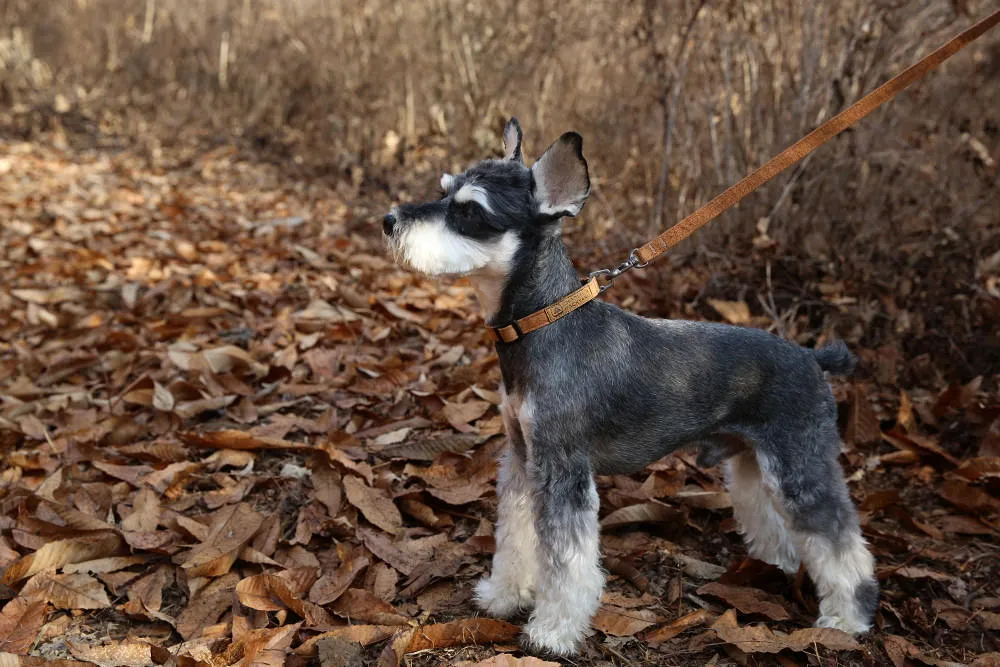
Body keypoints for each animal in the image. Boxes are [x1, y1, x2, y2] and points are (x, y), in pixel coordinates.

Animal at [386, 117, 880, 656]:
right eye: (443, 191)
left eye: (471, 212)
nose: (389, 221)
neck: (543, 322)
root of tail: (813, 359)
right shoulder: (522, 460)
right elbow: (515, 535)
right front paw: (503, 595)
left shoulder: (563, 471)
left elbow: (567, 564)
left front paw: (553, 632)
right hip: (754, 461)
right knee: (784, 530)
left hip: (800, 466)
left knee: (842, 544)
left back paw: (847, 618)